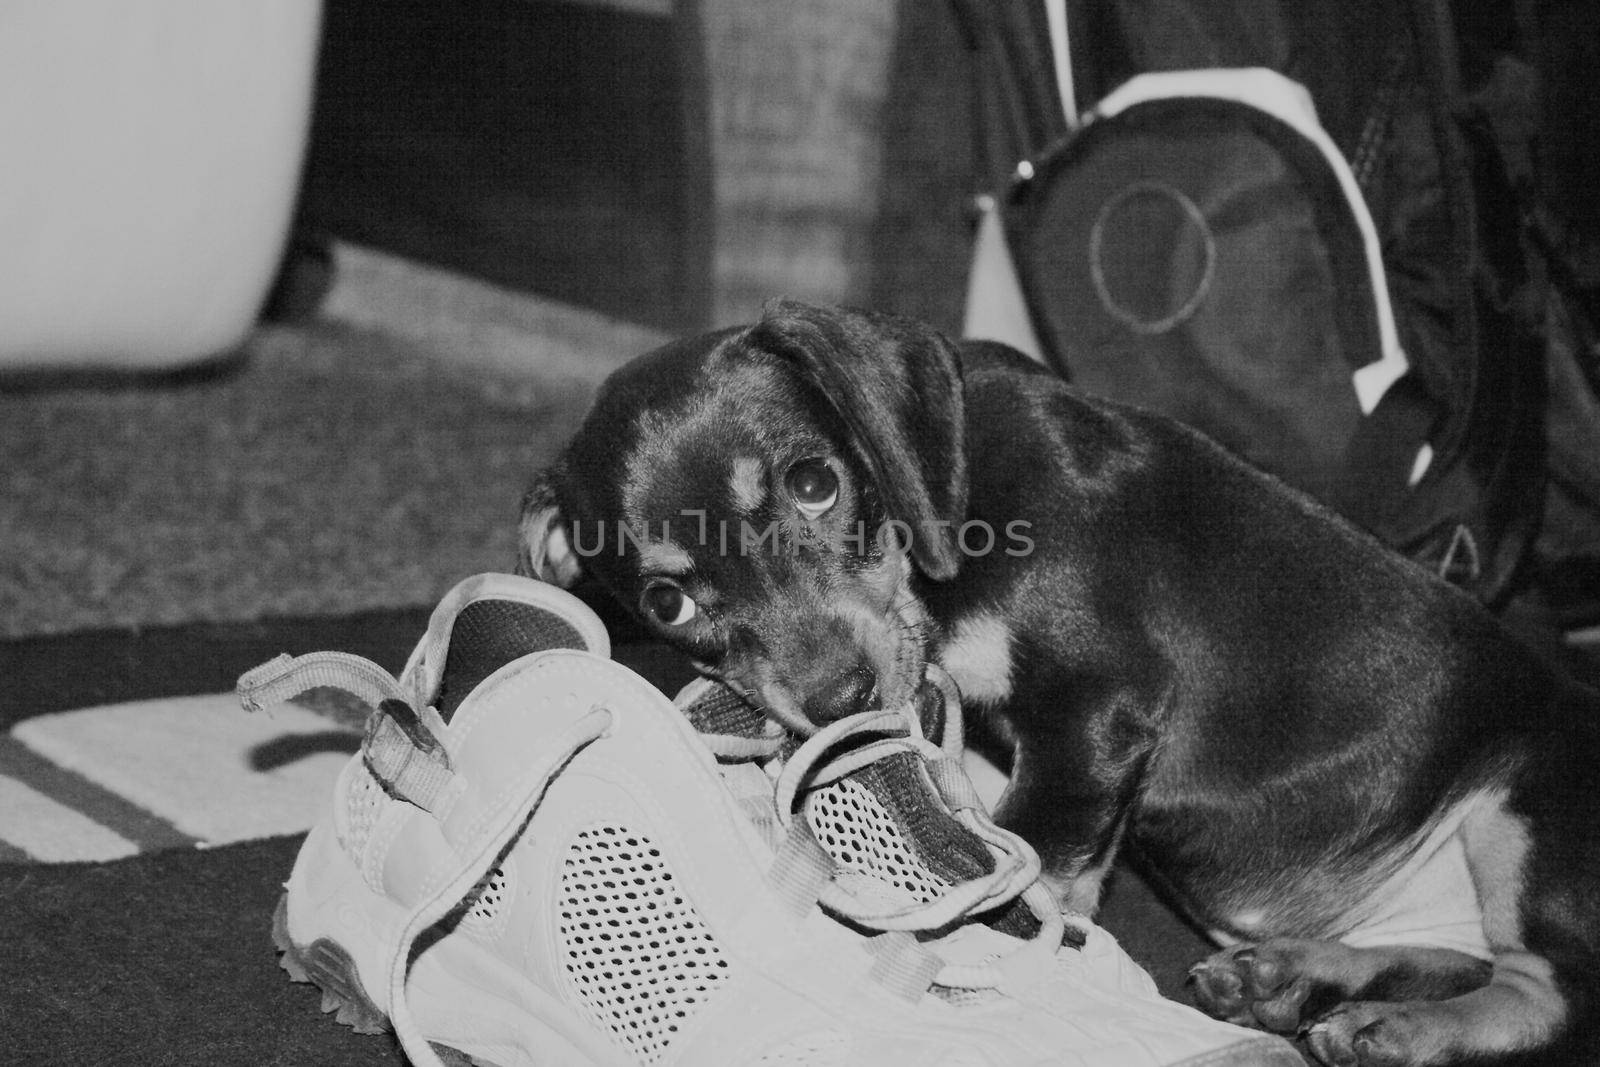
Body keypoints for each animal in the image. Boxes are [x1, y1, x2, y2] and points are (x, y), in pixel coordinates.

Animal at [521, 300, 1600, 1067]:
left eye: (814, 483)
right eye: (666, 599)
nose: (837, 703)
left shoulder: (1095, 709)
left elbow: (1033, 865)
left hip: (1531, 813)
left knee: (1549, 998)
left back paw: (1394, 1029)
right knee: (1464, 959)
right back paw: (1292, 978)